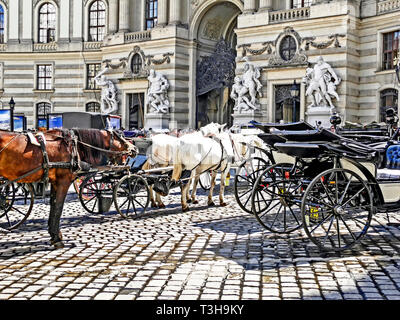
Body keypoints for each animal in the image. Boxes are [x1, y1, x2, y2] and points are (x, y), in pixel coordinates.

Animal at [0, 129, 136, 249]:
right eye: (120, 136)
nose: (134, 148)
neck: (71, 147)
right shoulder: (63, 182)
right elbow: (58, 207)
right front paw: (57, 238)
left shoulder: (55, 182)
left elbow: (54, 206)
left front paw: (54, 234)